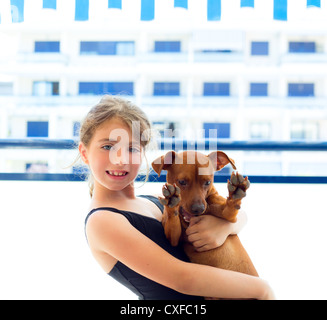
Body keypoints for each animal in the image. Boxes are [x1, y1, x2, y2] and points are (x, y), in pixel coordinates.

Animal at [152, 150, 260, 298]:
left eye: (208, 182)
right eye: (182, 182)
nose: (198, 209)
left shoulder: (228, 215)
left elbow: (229, 210)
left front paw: (236, 192)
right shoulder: (173, 238)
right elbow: (172, 222)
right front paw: (171, 200)